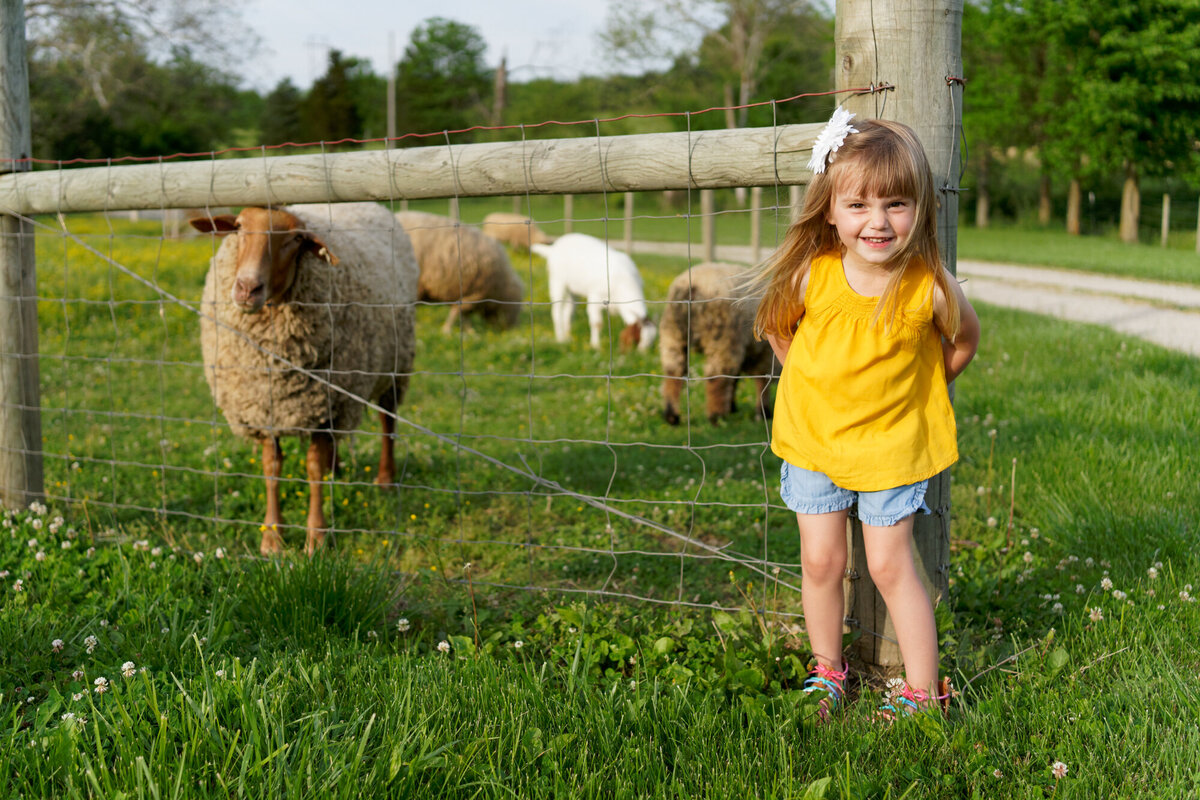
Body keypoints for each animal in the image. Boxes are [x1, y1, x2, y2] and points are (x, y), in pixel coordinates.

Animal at [194, 203, 420, 561]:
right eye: (239, 226)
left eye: (296, 239)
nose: (246, 288)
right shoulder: (266, 406)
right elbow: (272, 468)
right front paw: (272, 537)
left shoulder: (327, 406)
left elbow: (314, 470)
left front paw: (316, 538)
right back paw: (338, 468)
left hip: (394, 365)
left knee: (388, 421)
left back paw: (385, 478)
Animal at [393, 211, 525, 333]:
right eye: (515, 306)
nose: (513, 330)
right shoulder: (473, 294)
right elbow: (458, 313)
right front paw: (448, 330)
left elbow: (462, 315)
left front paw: (469, 332)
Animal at [657, 261, 777, 424]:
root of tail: (693, 286)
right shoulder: (764, 354)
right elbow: (761, 383)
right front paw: (763, 412)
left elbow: (735, 380)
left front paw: (733, 406)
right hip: (722, 338)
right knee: (717, 376)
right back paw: (716, 416)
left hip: (673, 333)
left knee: (674, 371)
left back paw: (671, 415)